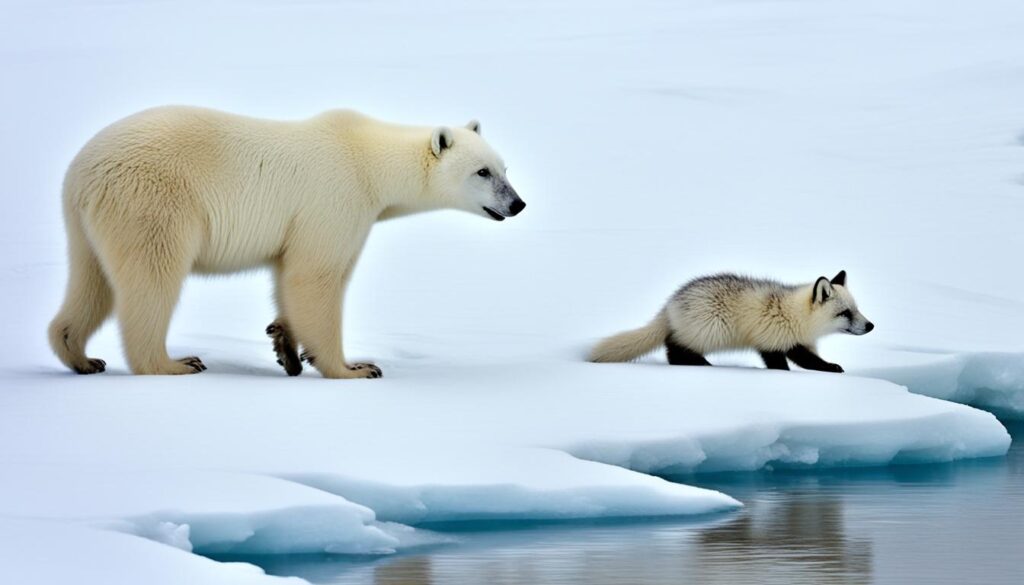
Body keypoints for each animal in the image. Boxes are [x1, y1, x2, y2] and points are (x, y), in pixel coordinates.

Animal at [46, 107, 528, 377]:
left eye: (505, 168)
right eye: (482, 172)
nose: (518, 204)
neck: (368, 159)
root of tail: (80, 172)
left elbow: (286, 275)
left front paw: (286, 349)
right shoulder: (336, 199)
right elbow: (315, 276)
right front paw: (355, 368)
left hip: (90, 222)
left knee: (92, 282)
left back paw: (81, 356)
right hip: (152, 203)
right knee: (151, 279)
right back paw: (174, 363)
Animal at [593, 272, 872, 372]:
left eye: (857, 309)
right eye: (845, 313)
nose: (871, 326)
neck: (798, 317)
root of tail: (669, 305)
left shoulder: (795, 342)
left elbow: (809, 360)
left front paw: (829, 366)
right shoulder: (772, 341)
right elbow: (786, 363)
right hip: (709, 331)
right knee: (673, 347)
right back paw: (702, 364)